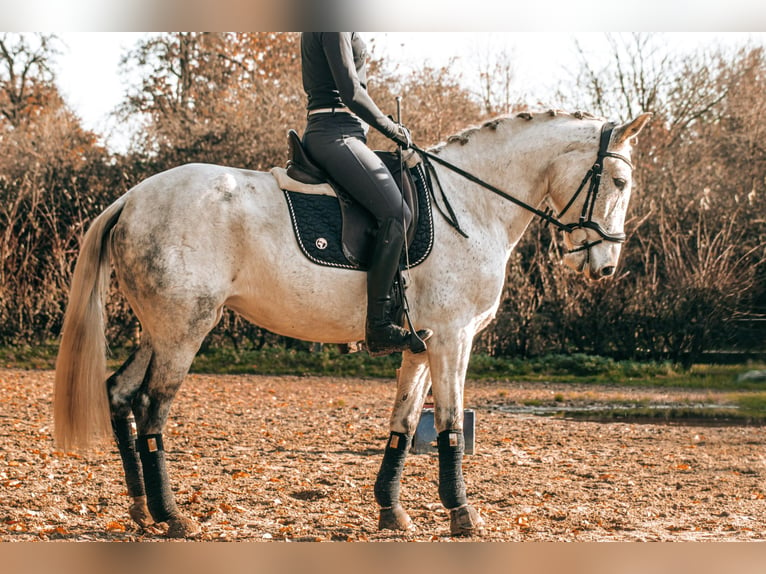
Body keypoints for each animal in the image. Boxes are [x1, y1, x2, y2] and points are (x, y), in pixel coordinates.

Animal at [55, 111, 656, 540]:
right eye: (619, 179)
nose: (604, 265)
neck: (473, 204)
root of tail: (132, 197)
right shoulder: (454, 338)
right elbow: (451, 424)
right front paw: (462, 513)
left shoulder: (422, 344)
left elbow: (404, 424)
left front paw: (392, 512)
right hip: (186, 327)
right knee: (152, 408)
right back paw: (172, 516)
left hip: (160, 328)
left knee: (120, 394)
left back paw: (139, 509)